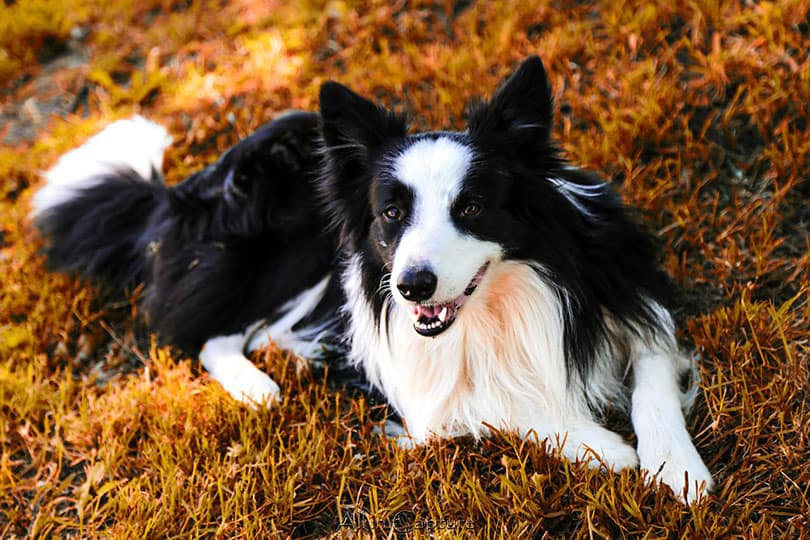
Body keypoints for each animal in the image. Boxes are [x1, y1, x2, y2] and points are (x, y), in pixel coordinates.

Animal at [31, 56, 712, 502]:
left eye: (471, 207)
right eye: (391, 213)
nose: (412, 286)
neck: (507, 298)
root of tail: (180, 192)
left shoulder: (631, 298)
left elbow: (651, 382)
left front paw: (677, 468)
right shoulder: (427, 392)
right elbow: (499, 404)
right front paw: (604, 447)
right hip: (295, 252)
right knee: (214, 334)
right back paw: (260, 388)